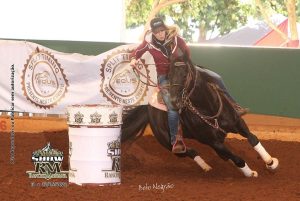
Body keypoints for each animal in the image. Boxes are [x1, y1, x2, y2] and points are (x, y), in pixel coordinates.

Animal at [121, 57, 278, 177]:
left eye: (185, 75)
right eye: (169, 75)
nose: (173, 101)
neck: (209, 109)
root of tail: (148, 108)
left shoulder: (238, 123)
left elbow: (253, 139)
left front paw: (270, 162)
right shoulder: (213, 142)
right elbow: (238, 158)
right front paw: (250, 173)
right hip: (169, 143)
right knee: (191, 152)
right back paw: (206, 167)